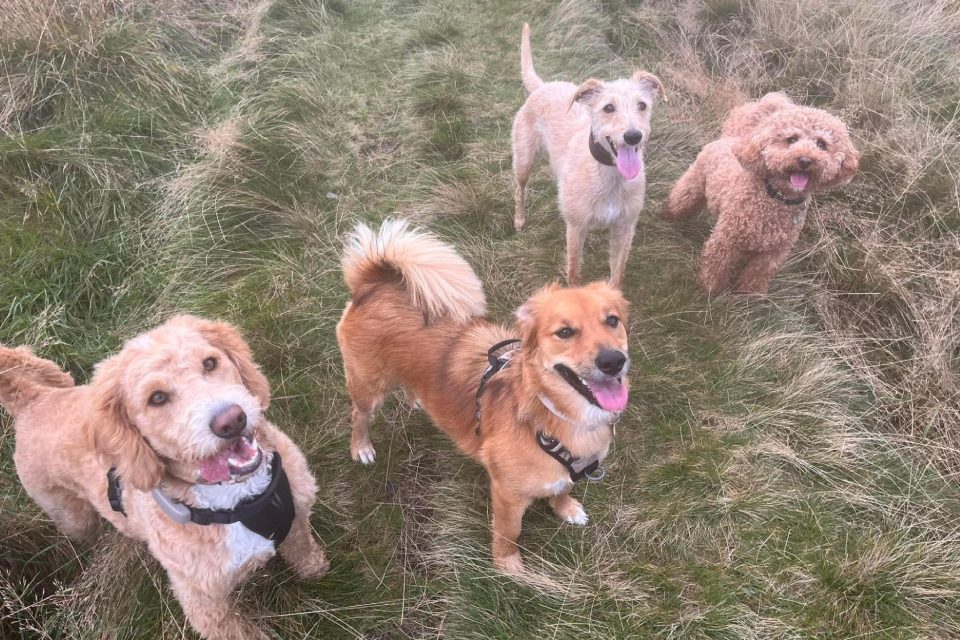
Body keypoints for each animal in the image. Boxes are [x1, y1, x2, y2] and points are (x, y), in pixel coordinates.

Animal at [0, 318, 330, 640]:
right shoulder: (203, 602)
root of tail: (33, 400)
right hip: (73, 518)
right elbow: (237, 630)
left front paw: (317, 571)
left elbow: (303, 549)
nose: (232, 420)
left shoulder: (297, 516)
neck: (237, 500)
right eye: (156, 398)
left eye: (210, 363)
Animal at [338, 219, 632, 568]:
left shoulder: (566, 472)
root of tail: (374, 282)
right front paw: (508, 566)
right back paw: (361, 447)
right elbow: (509, 531)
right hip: (369, 386)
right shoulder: (507, 493)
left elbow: (561, 488)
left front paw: (565, 508)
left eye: (612, 321)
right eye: (564, 332)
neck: (551, 415)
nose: (614, 361)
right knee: (359, 414)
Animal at [510, 23, 668, 288]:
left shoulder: (625, 229)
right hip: (524, 159)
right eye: (608, 108)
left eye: (643, 105)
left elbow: (617, 273)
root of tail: (542, 86)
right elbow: (574, 273)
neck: (608, 174)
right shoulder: (576, 228)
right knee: (520, 189)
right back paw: (520, 217)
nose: (633, 136)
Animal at [664, 91, 860, 294]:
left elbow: (754, 279)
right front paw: (711, 292)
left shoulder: (771, 254)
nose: (805, 160)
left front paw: (747, 297)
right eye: (791, 139)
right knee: (680, 200)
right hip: (693, 184)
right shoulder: (726, 240)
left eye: (821, 144)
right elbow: (715, 269)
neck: (776, 199)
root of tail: (730, 137)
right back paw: (668, 219)